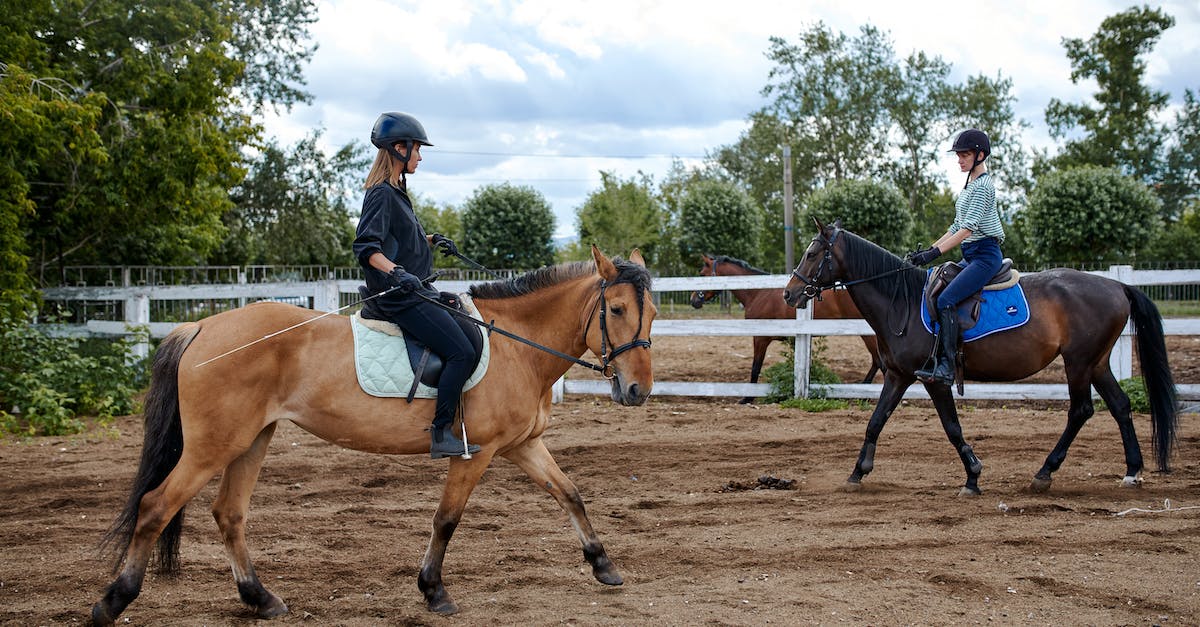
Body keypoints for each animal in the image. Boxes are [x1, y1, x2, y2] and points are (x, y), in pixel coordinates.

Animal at [93, 245, 657, 619]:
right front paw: (433, 591)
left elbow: (570, 494)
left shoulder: (522, 445)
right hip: (214, 445)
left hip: (252, 439)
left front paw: (603, 565)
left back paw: (260, 599)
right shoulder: (475, 453)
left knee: (228, 514)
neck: (517, 344)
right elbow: (446, 519)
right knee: (155, 507)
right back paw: (113, 601)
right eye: (615, 309)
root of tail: (202, 327)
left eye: (651, 311)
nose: (637, 390)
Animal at [691, 249, 888, 401]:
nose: (693, 300)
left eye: (701, 274)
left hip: (869, 335)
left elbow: (755, 367)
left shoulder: (760, 338)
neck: (758, 293)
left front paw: (747, 398)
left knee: (880, 363)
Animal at [777, 219, 1180, 492]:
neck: (901, 303)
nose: (789, 293)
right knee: (1120, 405)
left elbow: (952, 427)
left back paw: (1045, 473)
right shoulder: (897, 375)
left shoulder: (933, 380)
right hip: (1096, 362)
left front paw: (972, 476)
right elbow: (875, 421)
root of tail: (1117, 285)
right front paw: (857, 473)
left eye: (812, 253)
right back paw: (1131, 471)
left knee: (1081, 411)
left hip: (1078, 363)